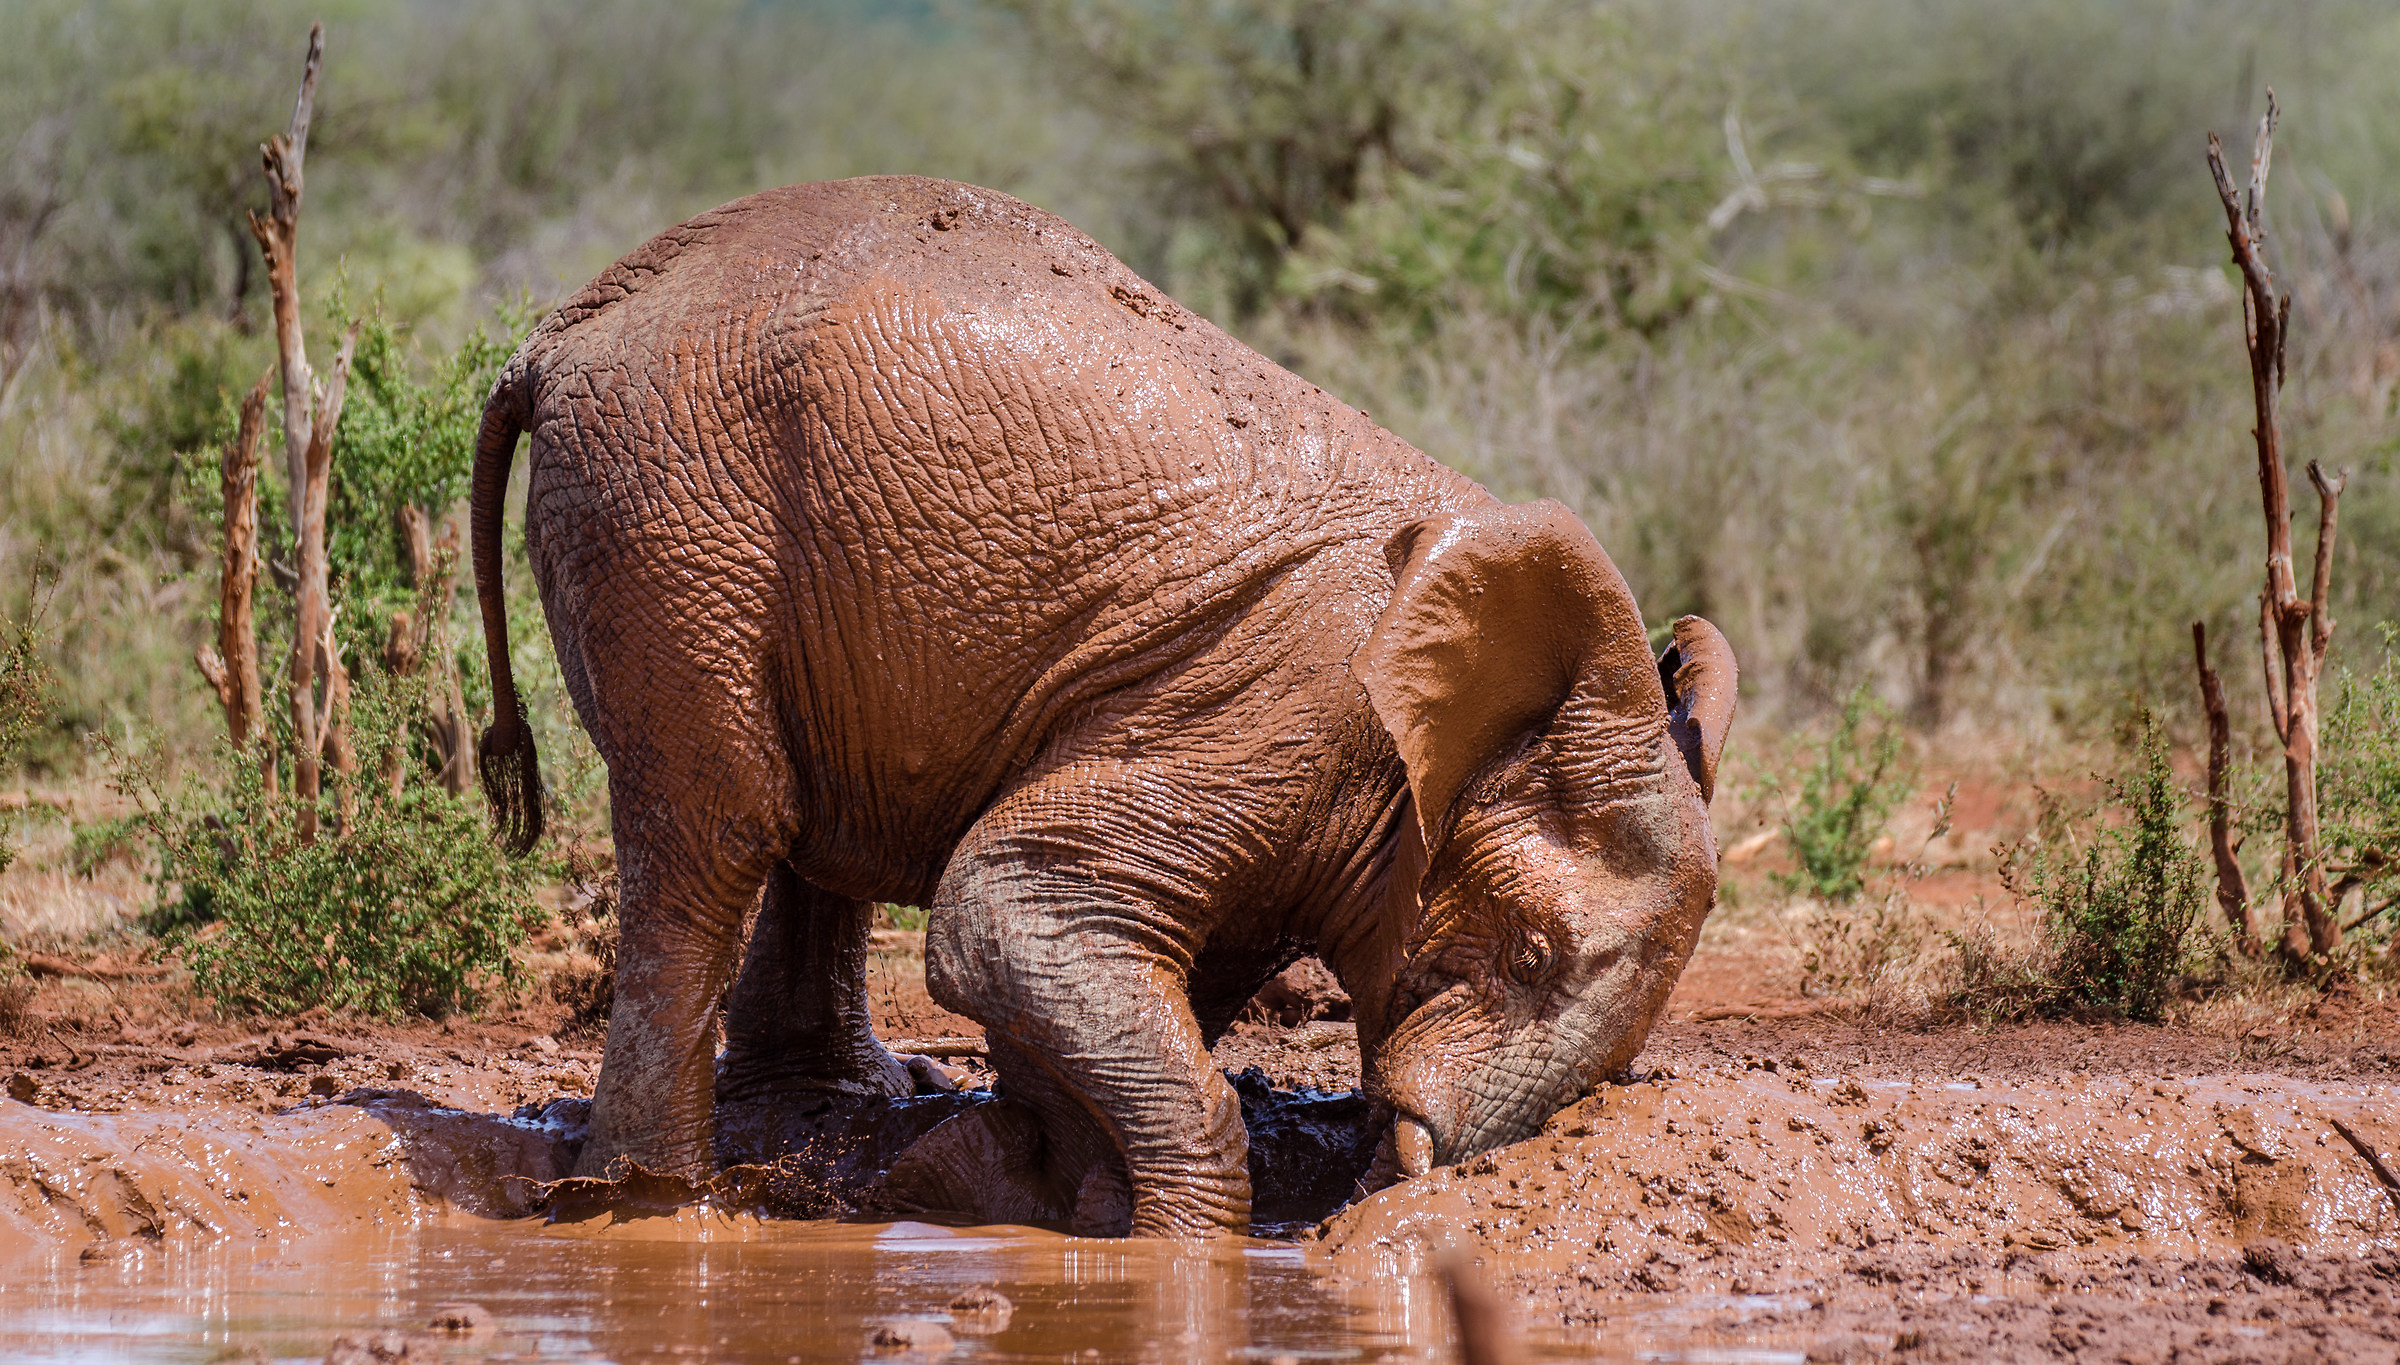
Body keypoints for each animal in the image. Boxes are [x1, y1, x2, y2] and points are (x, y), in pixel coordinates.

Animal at [472, 172, 1747, 1237]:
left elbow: (1128, 957)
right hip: (671, 516)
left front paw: (1016, 1189)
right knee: (719, 833)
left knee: (800, 829)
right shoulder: (1276, 717)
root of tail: (556, 334)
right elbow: (1000, 904)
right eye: (1529, 953)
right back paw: (648, 1204)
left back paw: (820, 1114)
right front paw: (1168, 1246)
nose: (1388, 1187)